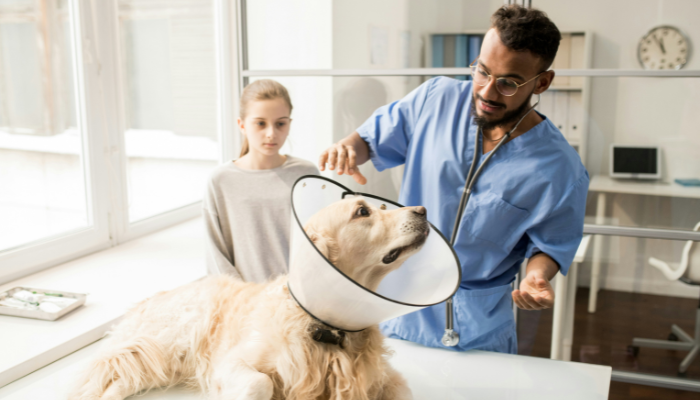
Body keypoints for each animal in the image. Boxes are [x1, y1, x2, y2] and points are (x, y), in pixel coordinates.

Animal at [74, 197, 430, 400]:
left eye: (381, 207)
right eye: (362, 211)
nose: (424, 210)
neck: (324, 325)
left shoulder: (379, 378)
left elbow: (404, 390)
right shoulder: (232, 364)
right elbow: (260, 384)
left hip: (158, 363)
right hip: (163, 346)